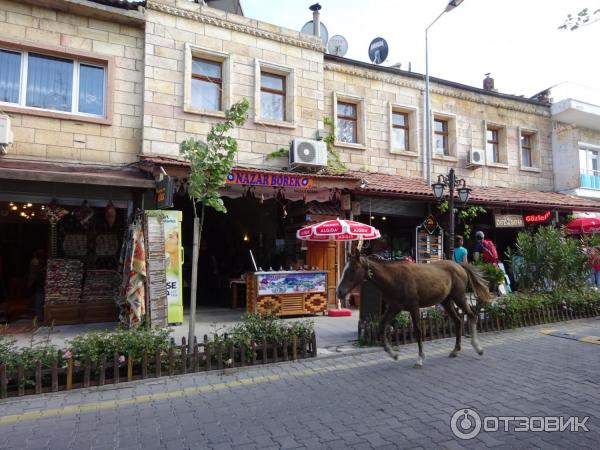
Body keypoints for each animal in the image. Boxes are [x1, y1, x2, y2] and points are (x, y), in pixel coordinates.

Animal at [338, 253, 492, 366]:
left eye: (352, 270)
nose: (339, 292)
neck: (395, 278)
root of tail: (459, 265)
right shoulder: (394, 308)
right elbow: (382, 326)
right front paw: (393, 354)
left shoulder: (414, 306)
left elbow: (418, 330)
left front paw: (420, 358)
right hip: (446, 301)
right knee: (458, 320)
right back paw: (455, 350)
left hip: (459, 297)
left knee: (472, 315)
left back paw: (478, 348)